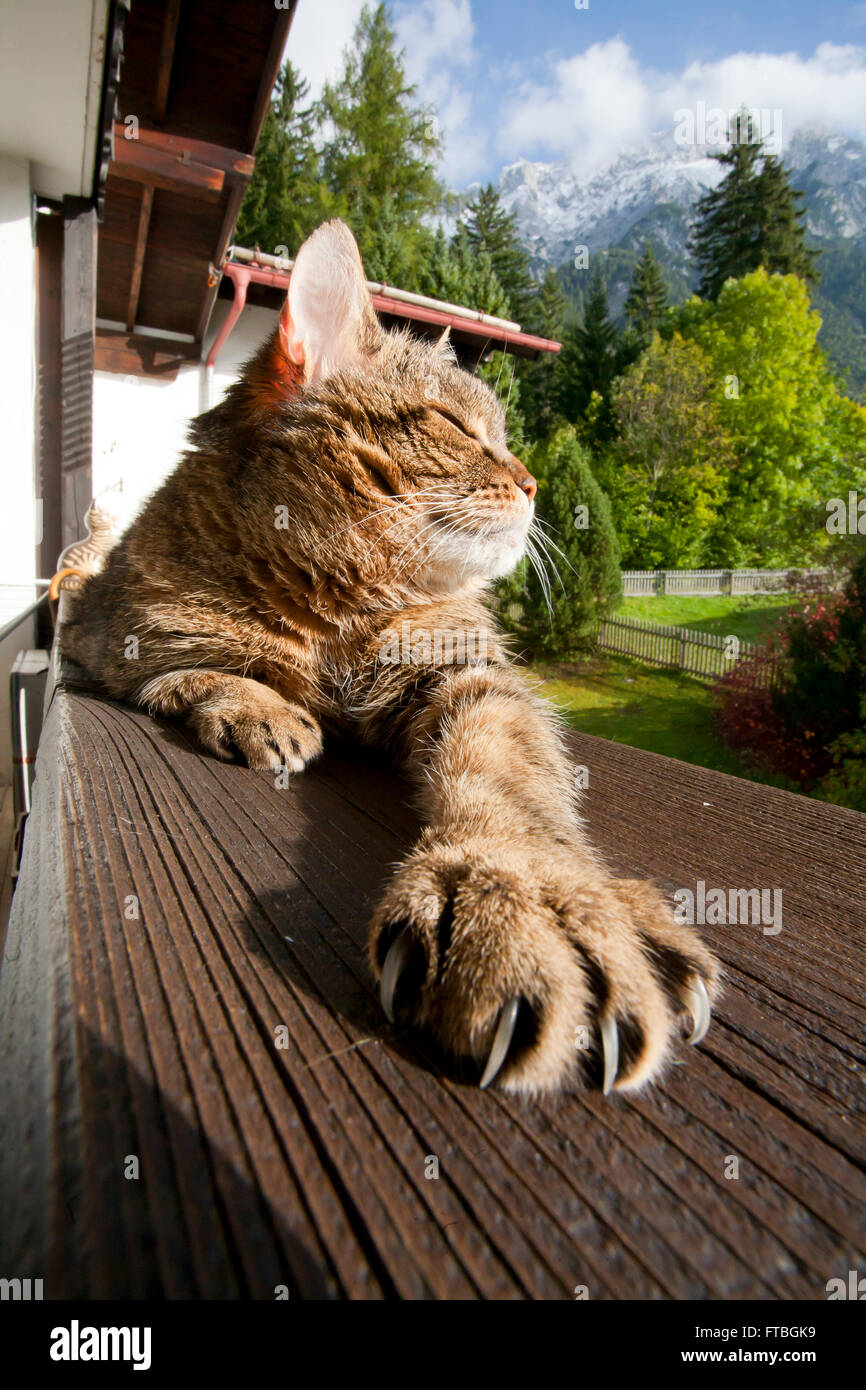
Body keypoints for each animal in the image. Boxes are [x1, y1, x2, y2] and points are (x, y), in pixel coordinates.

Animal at [62, 219, 717, 1095]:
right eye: (462, 429)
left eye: (505, 438)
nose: (533, 482)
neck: (331, 604)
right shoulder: (114, 635)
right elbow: (184, 670)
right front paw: (258, 706)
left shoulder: (465, 670)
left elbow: (506, 765)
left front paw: (524, 884)